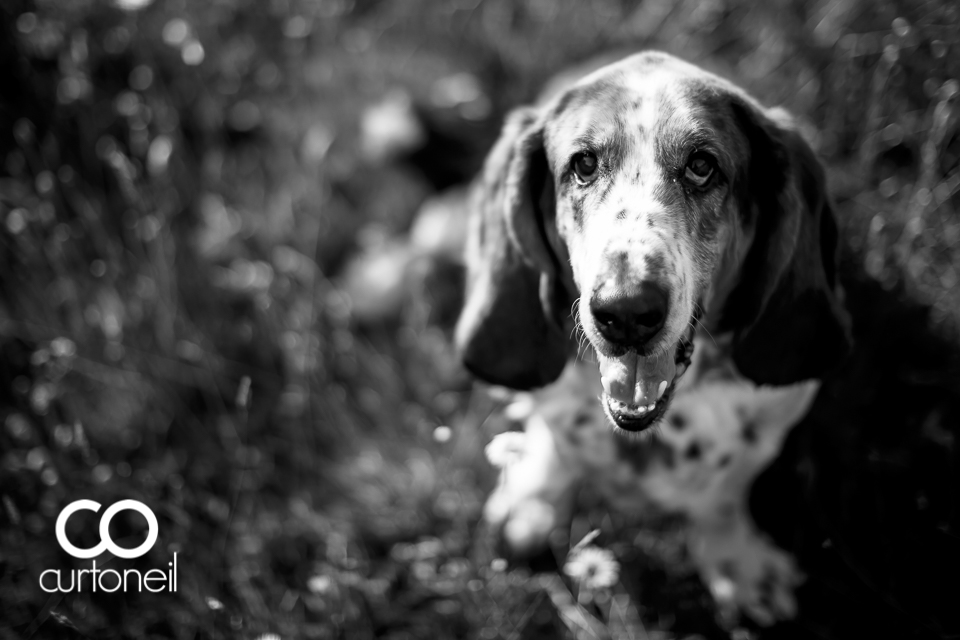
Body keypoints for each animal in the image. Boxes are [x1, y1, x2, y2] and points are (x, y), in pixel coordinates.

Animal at [460, 52, 856, 628]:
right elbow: (555, 442)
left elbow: (723, 496)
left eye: (702, 165)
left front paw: (739, 567)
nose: (625, 313)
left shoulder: (773, 420)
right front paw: (532, 503)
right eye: (583, 165)